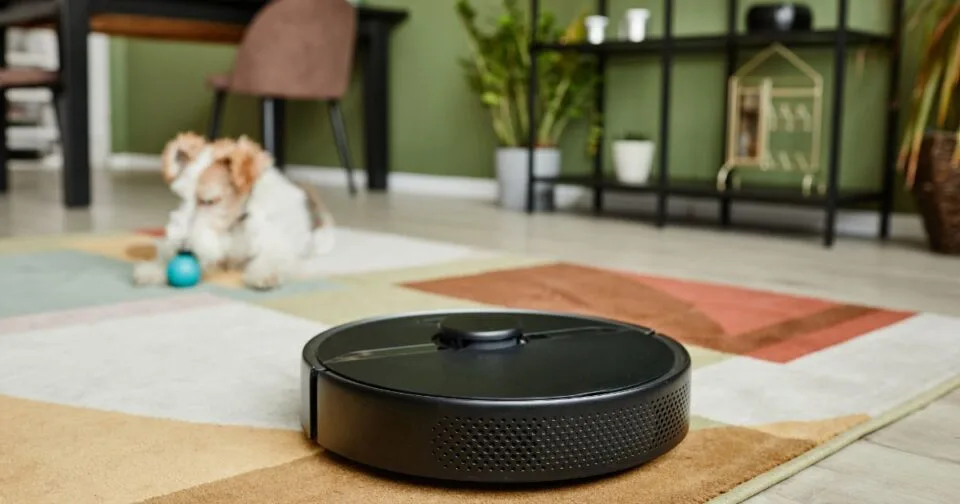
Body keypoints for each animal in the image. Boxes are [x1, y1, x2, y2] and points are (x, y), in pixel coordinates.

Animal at [131, 132, 334, 290]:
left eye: (210, 200)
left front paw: (264, 274)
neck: (236, 223)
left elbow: (272, 257)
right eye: (182, 197)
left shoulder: (276, 244)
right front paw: (152, 269)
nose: (183, 250)